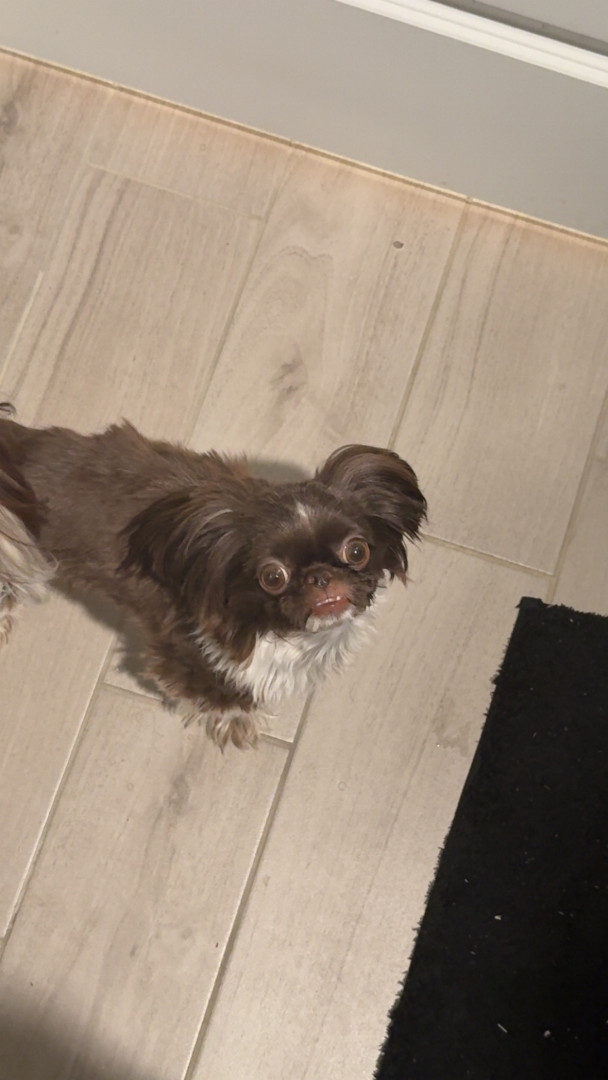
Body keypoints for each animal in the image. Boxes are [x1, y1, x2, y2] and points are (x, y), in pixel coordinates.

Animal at [0, 404, 426, 747]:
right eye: (273, 577)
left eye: (356, 551)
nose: (319, 577)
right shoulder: (187, 652)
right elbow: (219, 696)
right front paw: (239, 720)